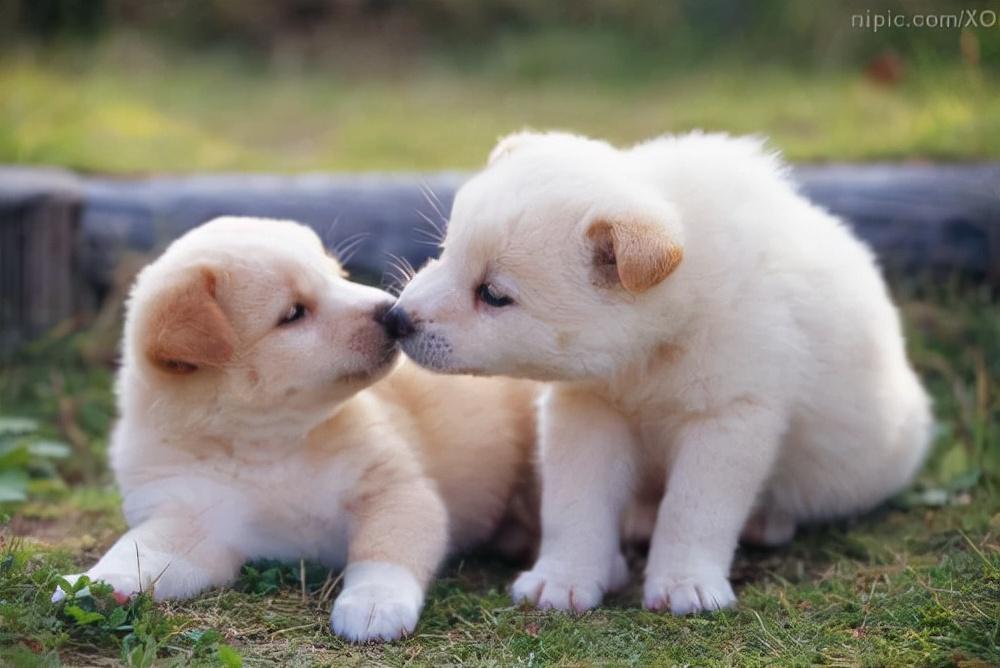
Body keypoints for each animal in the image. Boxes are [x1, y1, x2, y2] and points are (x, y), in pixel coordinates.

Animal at [54, 215, 540, 640]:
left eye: (337, 275)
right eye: (293, 313)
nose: (392, 312)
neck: (268, 447)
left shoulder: (393, 490)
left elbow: (384, 553)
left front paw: (373, 604)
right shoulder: (190, 521)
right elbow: (138, 551)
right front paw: (97, 583)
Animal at [386, 130, 932, 616]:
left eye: (494, 295)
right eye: (445, 252)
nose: (395, 319)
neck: (649, 353)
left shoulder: (727, 417)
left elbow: (693, 510)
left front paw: (685, 584)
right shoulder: (587, 410)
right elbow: (573, 506)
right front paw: (563, 579)